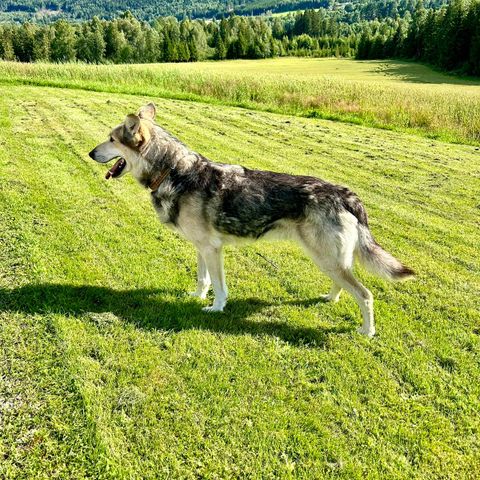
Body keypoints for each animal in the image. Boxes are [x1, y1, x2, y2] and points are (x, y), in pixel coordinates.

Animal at [89, 102, 412, 336]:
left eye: (111, 139)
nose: (90, 153)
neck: (173, 171)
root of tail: (347, 194)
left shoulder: (212, 250)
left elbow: (219, 287)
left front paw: (216, 309)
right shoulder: (201, 248)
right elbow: (203, 280)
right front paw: (197, 297)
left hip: (327, 260)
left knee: (365, 294)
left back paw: (367, 332)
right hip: (328, 260)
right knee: (345, 286)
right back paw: (330, 300)